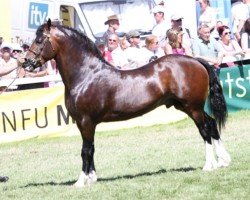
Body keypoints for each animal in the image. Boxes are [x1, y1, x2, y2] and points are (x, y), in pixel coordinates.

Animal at [22, 19, 231, 187]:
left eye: (39, 40)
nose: (26, 63)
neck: (86, 75)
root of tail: (196, 61)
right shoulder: (86, 124)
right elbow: (91, 149)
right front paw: (92, 177)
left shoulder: (85, 121)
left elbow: (85, 150)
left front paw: (81, 181)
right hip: (188, 107)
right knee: (212, 124)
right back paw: (223, 161)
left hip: (193, 108)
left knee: (205, 130)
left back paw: (209, 165)